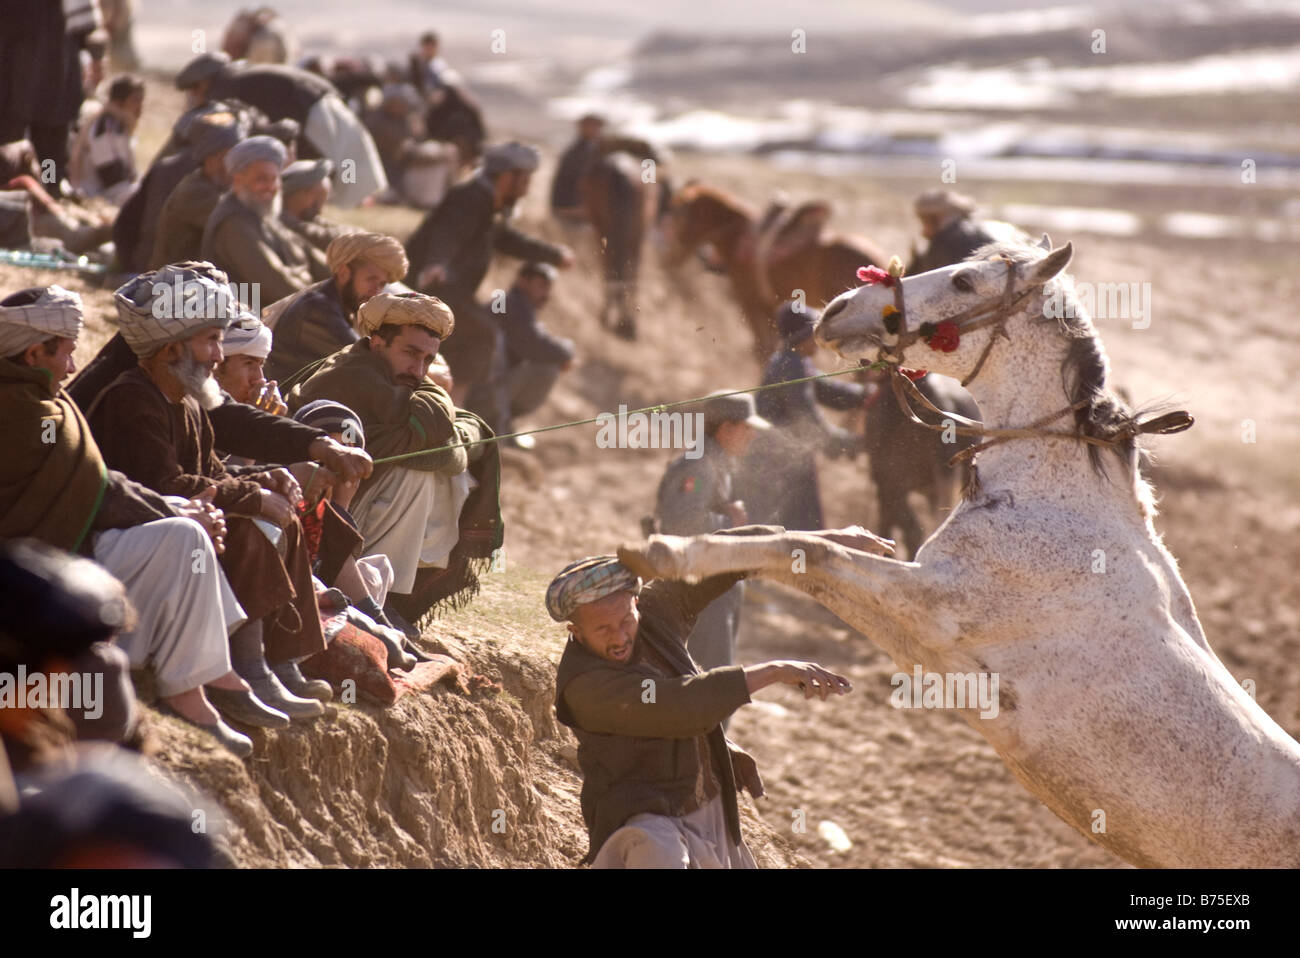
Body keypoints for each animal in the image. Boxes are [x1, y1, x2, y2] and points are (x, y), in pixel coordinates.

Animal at [616, 235, 1300, 863]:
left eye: (965, 281)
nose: (835, 310)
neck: (1057, 496)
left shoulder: (931, 613)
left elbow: (802, 553)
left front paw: (668, 553)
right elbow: (792, 541)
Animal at [665, 180, 889, 356]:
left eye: (677, 215)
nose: (670, 259)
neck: (737, 237)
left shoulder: (750, 304)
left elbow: (763, 350)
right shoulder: (769, 307)